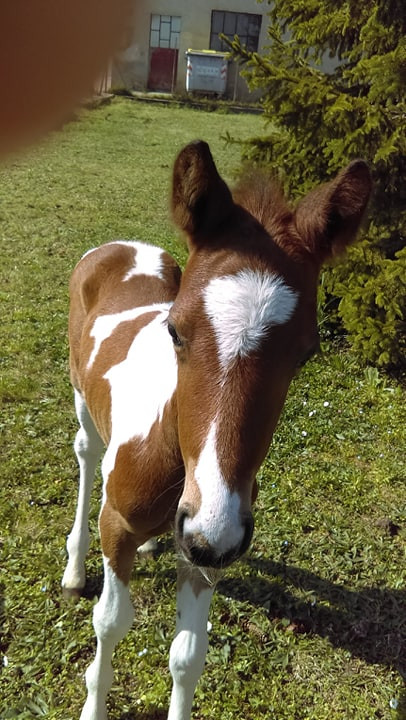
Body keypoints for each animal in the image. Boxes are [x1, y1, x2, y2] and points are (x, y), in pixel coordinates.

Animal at [61, 138, 372, 716]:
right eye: (175, 330)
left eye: (306, 353)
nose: (212, 526)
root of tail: (120, 246)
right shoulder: (119, 524)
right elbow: (110, 624)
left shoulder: (207, 554)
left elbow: (188, 658)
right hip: (82, 401)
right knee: (87, 454)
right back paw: (73, 568)